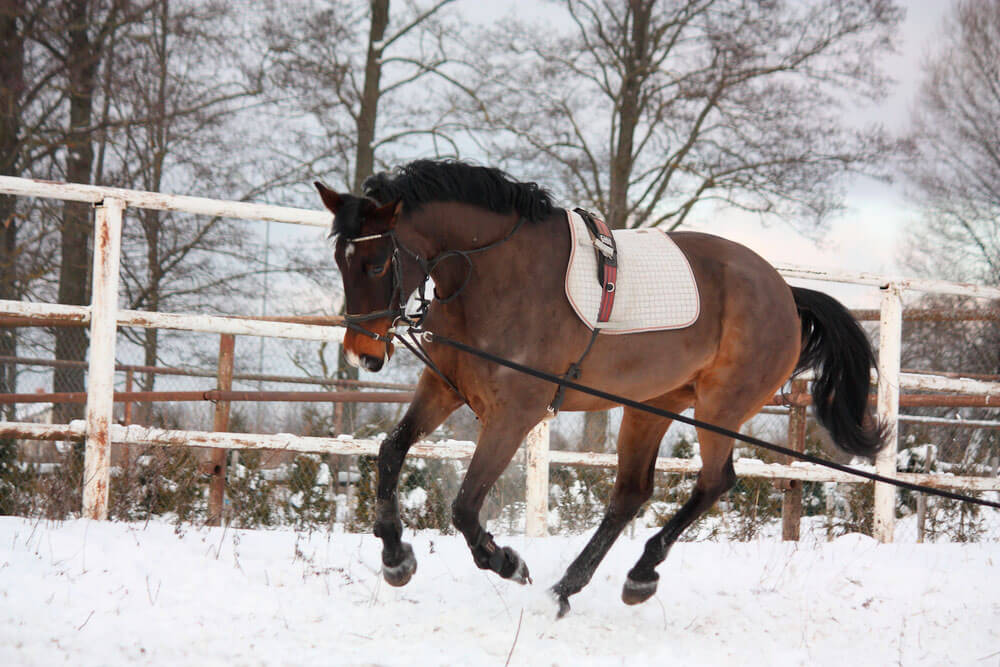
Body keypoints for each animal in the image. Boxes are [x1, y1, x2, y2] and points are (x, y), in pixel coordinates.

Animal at [314, 159, 884, 620]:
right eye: (339, 262)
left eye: (376, 263)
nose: (363, 354)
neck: (494, 275)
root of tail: (784, 291)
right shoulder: (444, 387)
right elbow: (391, 452)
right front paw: (396, 558)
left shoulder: (514, 414)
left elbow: (465, 506)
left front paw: (507, 562)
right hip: (653, 406)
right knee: (631, 493)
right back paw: (568, 587)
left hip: (720, 408)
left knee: (714, 482)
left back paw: (637, 576)